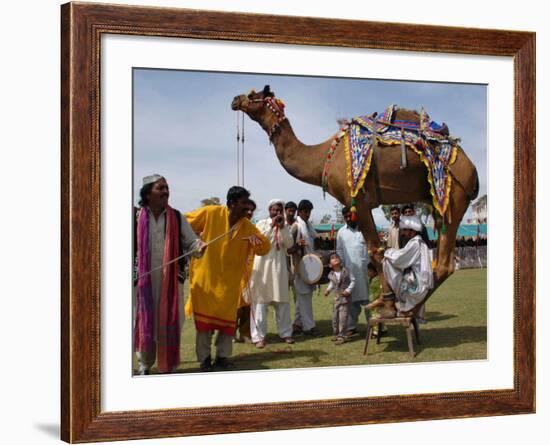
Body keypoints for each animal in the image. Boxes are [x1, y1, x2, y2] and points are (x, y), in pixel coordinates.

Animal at [231, 85, 480, 314]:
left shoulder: (358, 200)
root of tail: (472, 170)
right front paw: (383, 300)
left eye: (253, 95)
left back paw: (409, 306)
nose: (235, 99)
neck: (324, 158)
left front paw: (386, 303)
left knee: (445, 263)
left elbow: (376, 250)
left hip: (453, 195)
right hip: (438, 203)